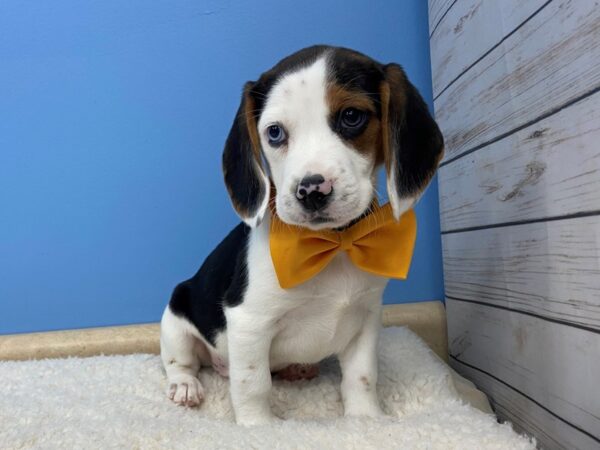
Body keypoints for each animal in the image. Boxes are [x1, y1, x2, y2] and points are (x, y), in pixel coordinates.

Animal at [162, 45, 442, 426]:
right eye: (274, 133)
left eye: (352, 116)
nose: (311, 191)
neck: (333, 245)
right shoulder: (249, 322)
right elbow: (253, 384)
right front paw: (258, 427)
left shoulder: (367, 316)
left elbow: (362, 376)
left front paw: (366, 419)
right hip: (176, 317)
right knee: (182, 363)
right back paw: (185, 386)